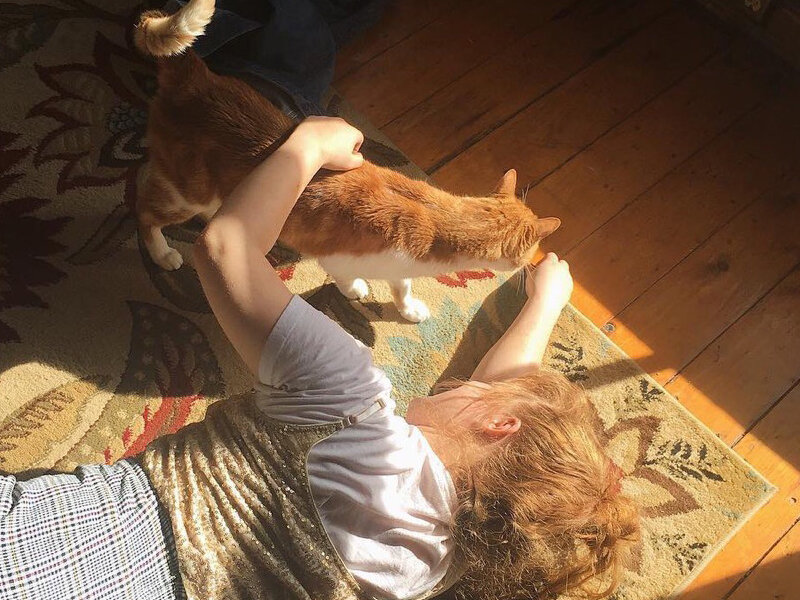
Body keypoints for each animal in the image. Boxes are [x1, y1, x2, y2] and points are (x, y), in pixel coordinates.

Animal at [133, 0, 561, 322]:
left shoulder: (400, 270)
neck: (436, 223)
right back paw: (162, 251)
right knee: (145, 209)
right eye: (529, 255)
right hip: (186, 192)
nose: (530, 268)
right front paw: (356, 289)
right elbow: (347, 279)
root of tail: (196, 76)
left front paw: (408, 309)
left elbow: (402, 288)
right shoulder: (336, 258)